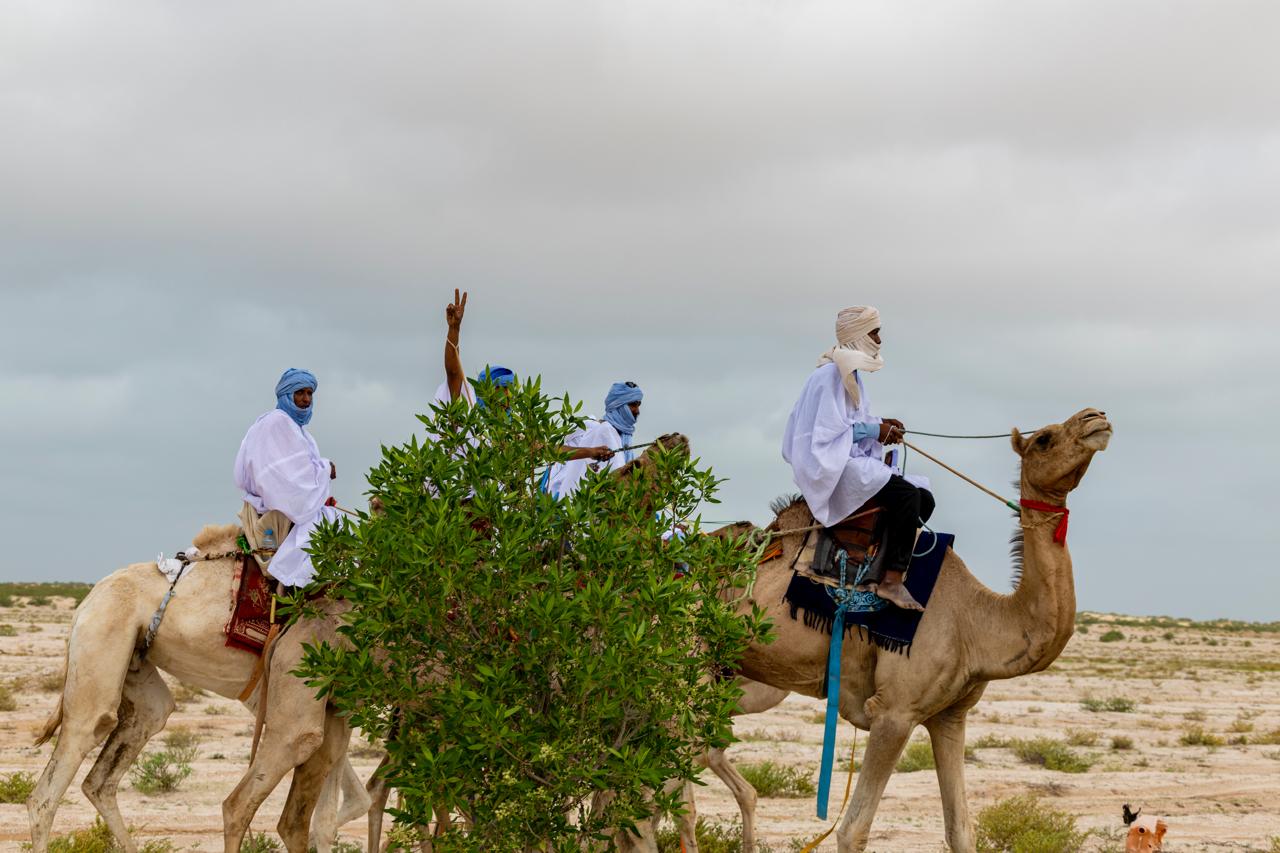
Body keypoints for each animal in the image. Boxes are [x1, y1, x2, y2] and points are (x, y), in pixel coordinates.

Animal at [737, 407, 1116, 850]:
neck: (975, 622)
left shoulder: (950, 716)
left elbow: (961, 829)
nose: (1096, 417)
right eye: (1044, 439)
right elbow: (854, 830)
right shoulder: (894, 711)